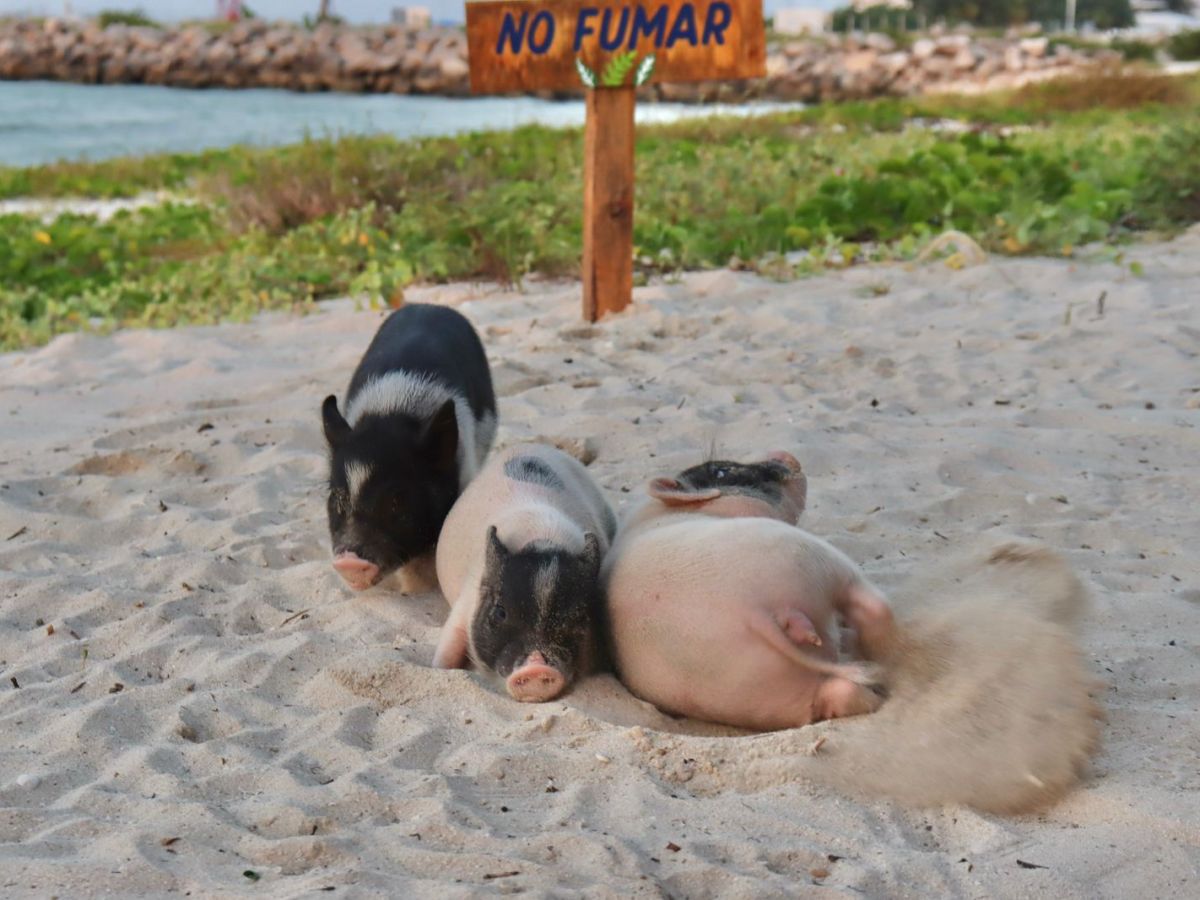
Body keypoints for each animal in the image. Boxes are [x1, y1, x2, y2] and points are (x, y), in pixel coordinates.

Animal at [434, 444, 619, 705]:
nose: (536, 667)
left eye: (579, 617)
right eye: (500, 612)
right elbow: (447, 651)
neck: (543, 539)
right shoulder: (466, 603)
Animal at [604, 451, 897, 734]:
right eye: (721, 471)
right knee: (874, 608)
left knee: (838, 693)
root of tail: (750, 612)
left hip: (756, 692)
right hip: (811, 557)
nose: (786, 455)